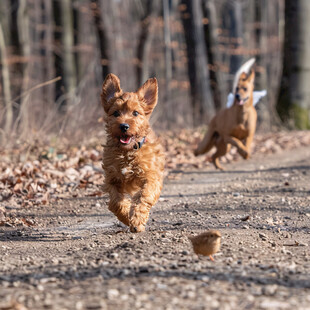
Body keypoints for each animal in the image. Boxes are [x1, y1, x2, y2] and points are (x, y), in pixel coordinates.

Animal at [101, 74, 165, 231]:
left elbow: (144, 196)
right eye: (116, 113)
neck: (127, 152)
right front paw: (125, 216)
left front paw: (137, 220)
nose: (124, 126)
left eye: (135, 113)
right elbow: (115, 202)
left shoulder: (151, 177)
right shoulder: (112, 179)